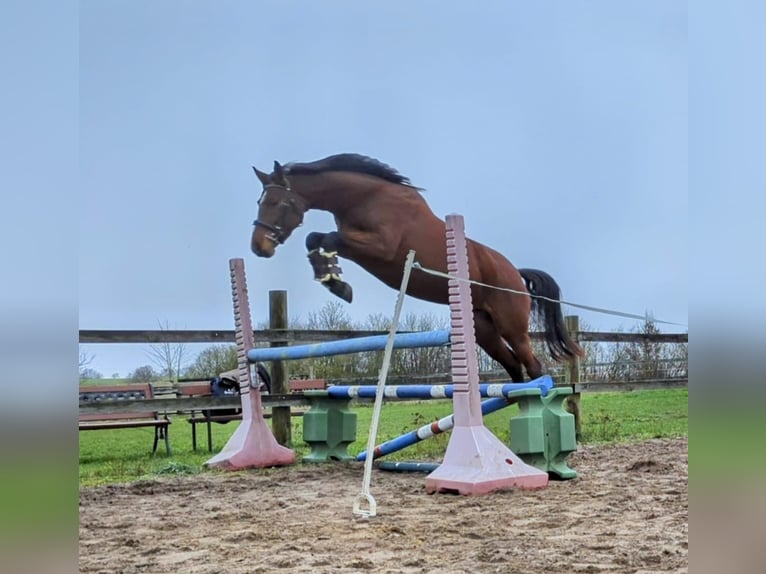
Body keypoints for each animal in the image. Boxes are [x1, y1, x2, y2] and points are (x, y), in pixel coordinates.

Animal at [250, 153, 584, 382]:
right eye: (260, 201)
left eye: (278, 203)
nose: (258, 247)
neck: (365, 198)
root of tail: (515, 274)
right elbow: (315, 238)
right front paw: (333, 279)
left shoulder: (380, 248)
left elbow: (327, 238)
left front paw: (336, 282)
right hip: (484, 330)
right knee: (514, 369)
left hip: (511, 327)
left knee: (534, 367)